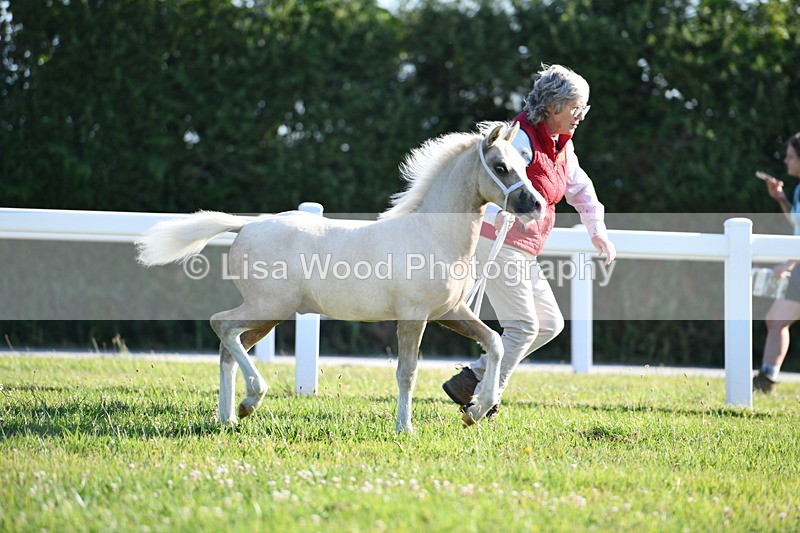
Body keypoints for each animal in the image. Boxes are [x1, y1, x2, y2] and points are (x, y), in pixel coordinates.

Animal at [135, 121, 545, 432]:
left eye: (522, 164)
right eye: (500, 166)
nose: (536, 205)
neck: (432, 234)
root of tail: (246, 225)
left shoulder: (449, 313)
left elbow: (494, 343)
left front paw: (475, 411)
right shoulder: (413, 317)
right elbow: (407, 372)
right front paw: (405, 427)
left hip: (269, 315)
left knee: (228, 346)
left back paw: (231, 417)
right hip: (268, 307)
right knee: (221, 325)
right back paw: (252, 398)